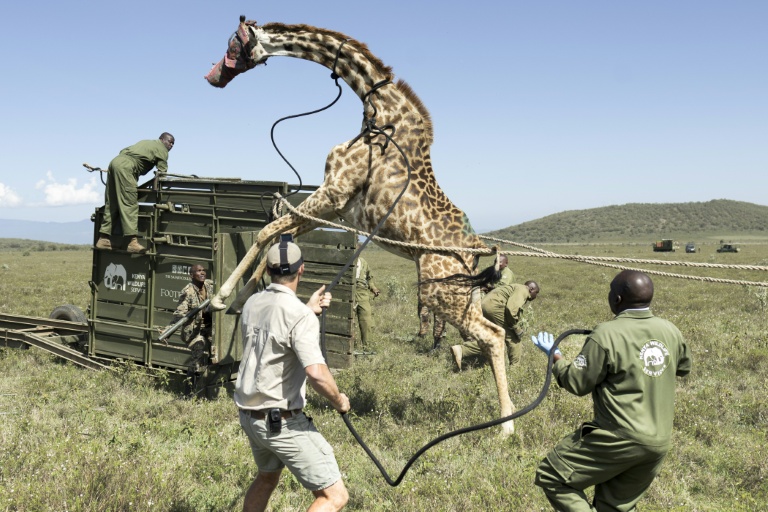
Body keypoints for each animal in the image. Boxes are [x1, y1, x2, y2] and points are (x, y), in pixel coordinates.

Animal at [205, 18, 517, 435]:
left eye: (233, 45)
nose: (212, 77)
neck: (378, 112)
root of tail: (480, 250)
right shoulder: (338, 206)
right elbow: (278, 237)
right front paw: (243, 297)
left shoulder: (335, 191)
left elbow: (269, 232)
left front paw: (222, 297)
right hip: (463, 292)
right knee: (485, 333)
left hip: (438, 290)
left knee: (493, 335)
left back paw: (506, 426)